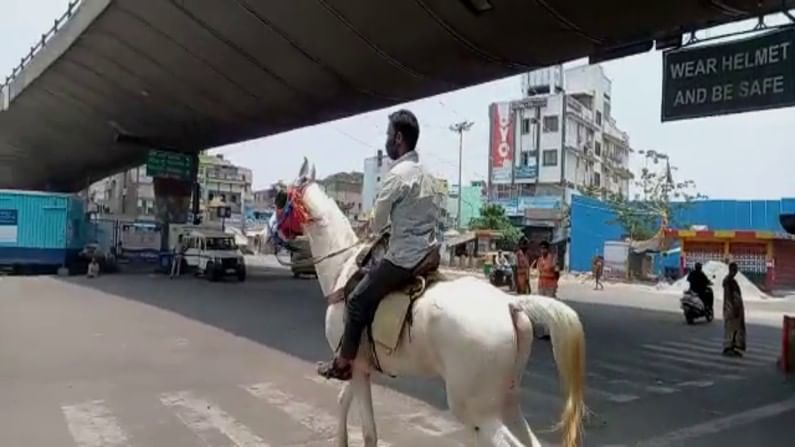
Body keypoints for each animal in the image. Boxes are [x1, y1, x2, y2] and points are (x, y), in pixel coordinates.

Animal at [284, 159, 584, 446]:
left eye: (281, 198)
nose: (276, 233)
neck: (342, 267)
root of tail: (510, 304)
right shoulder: (359, 367)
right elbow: (343, 401)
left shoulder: (355, 364)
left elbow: (369, 432)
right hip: (507, 398)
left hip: (475, 408)